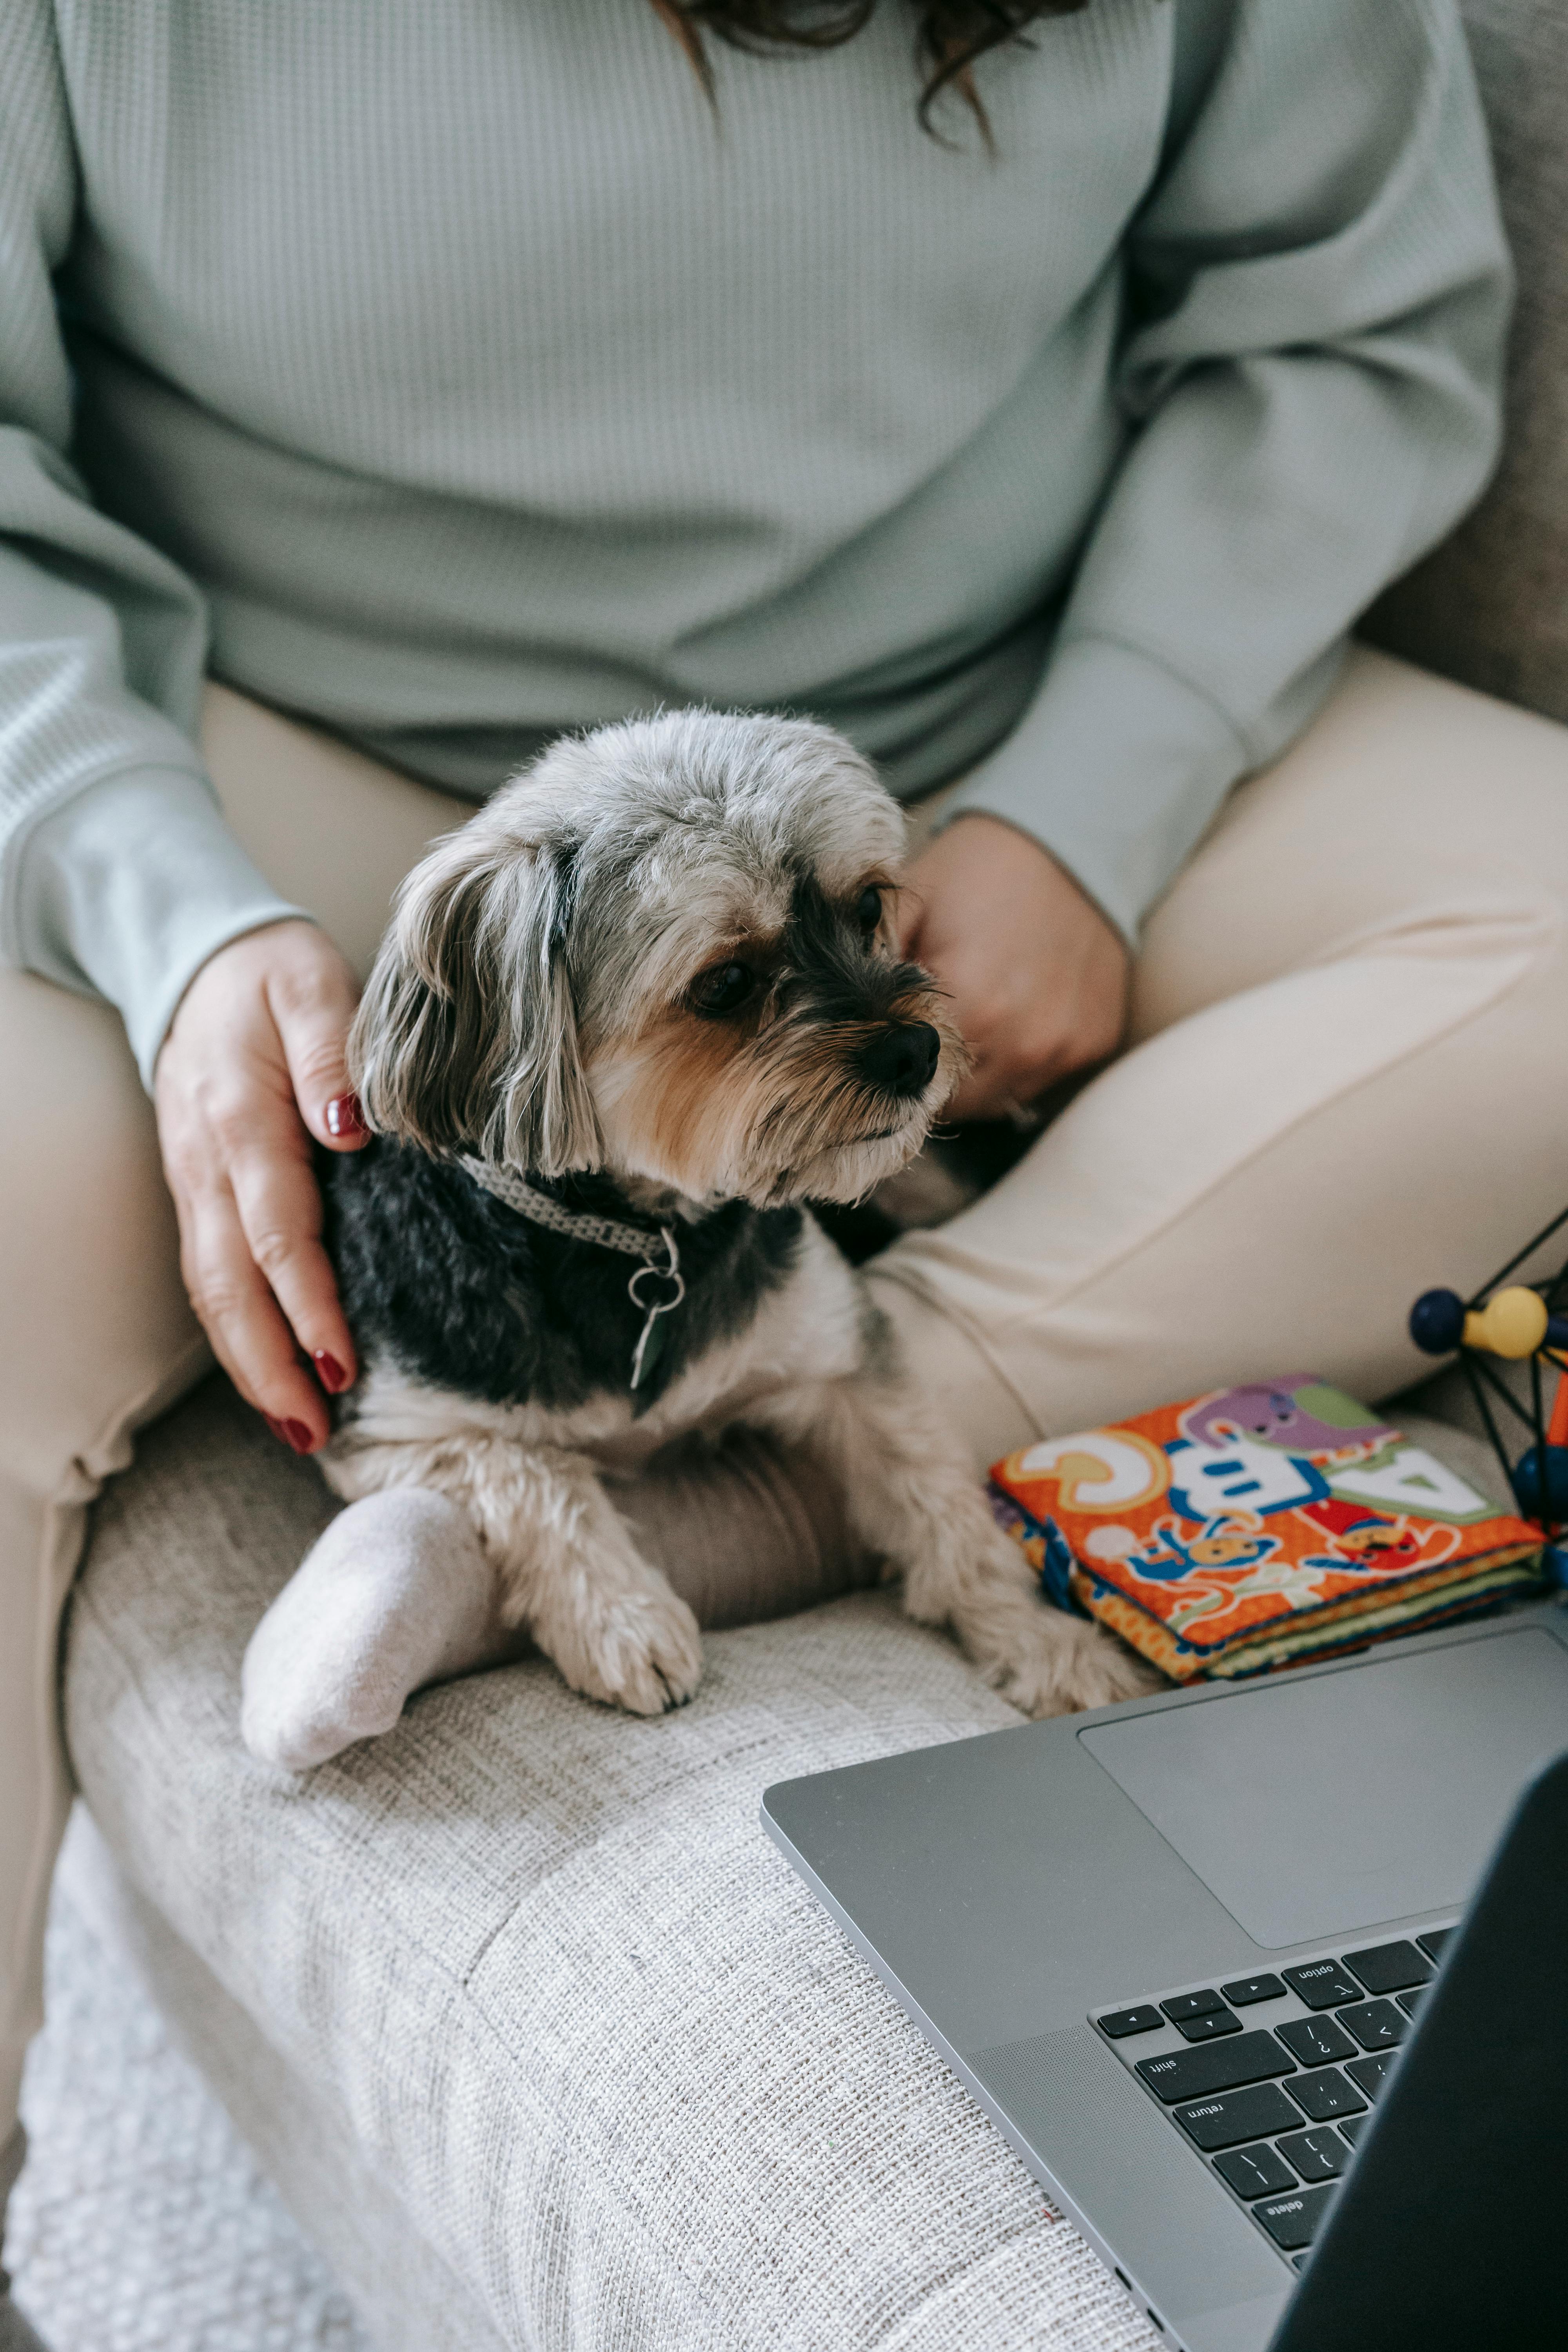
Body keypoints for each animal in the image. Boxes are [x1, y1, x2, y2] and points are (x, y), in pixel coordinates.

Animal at [303, 706, 1142, 1722]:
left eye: (868, 907)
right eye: (725, 984)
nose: (916, 1050)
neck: (641, 1234)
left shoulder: (842, 1352)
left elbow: (934, 1491)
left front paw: (1037, 1638)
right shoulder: (394, 1427)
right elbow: (528, 1472)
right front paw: (621, 1620)